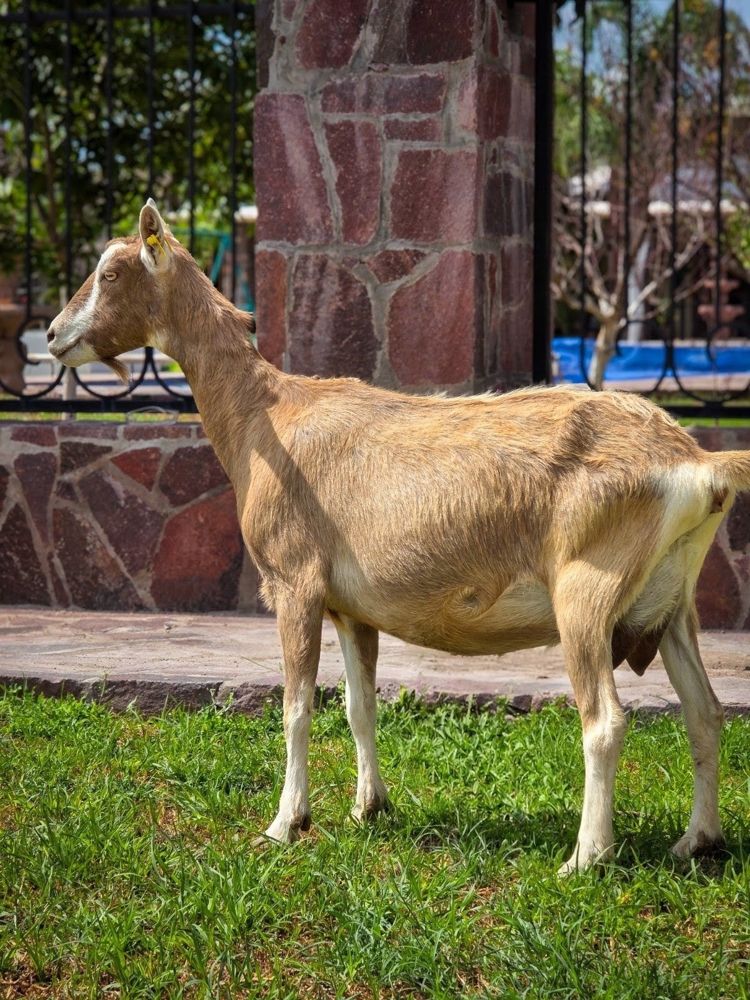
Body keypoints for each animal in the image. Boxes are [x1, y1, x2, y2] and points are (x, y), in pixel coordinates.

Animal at [47, 201, 750, 872]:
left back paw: (584, 858)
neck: (265, 415)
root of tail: (695, 461)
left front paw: (284, 825)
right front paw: (369, 809)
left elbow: (296, 706)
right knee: (705, 712)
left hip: (586, 593)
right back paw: (697, 842)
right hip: (671, 603)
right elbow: (359, 706)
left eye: (112, 273)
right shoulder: (352, 608)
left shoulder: (295, 583)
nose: (53, 335)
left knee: (604, 722)